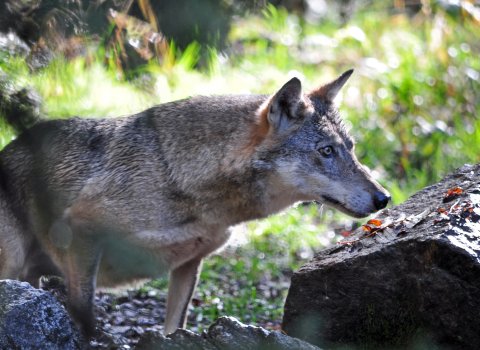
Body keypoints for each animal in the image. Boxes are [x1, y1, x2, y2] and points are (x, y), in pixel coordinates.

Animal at [0, 69, 390, 334]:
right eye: (326, 151)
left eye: (351, 149)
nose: (384, 198)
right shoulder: (82, 230)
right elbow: (86, 320)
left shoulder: (190, 263)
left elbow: (174, 326)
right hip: (14, 263)